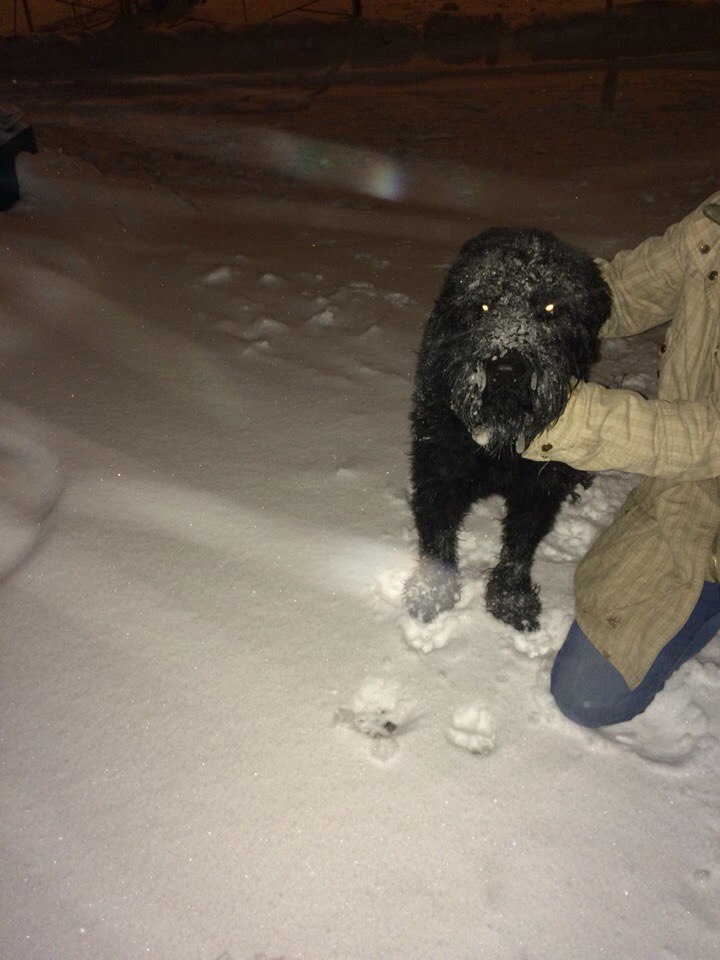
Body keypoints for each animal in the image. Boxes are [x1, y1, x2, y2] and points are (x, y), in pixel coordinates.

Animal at [403, 227, 611, 631]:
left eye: (551, 308)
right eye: (483, 307)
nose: (506, 369)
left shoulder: (538, 488)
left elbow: (519, 545)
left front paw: (511, 599)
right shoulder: (437, 472)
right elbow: (437, 538)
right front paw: (431, 592)